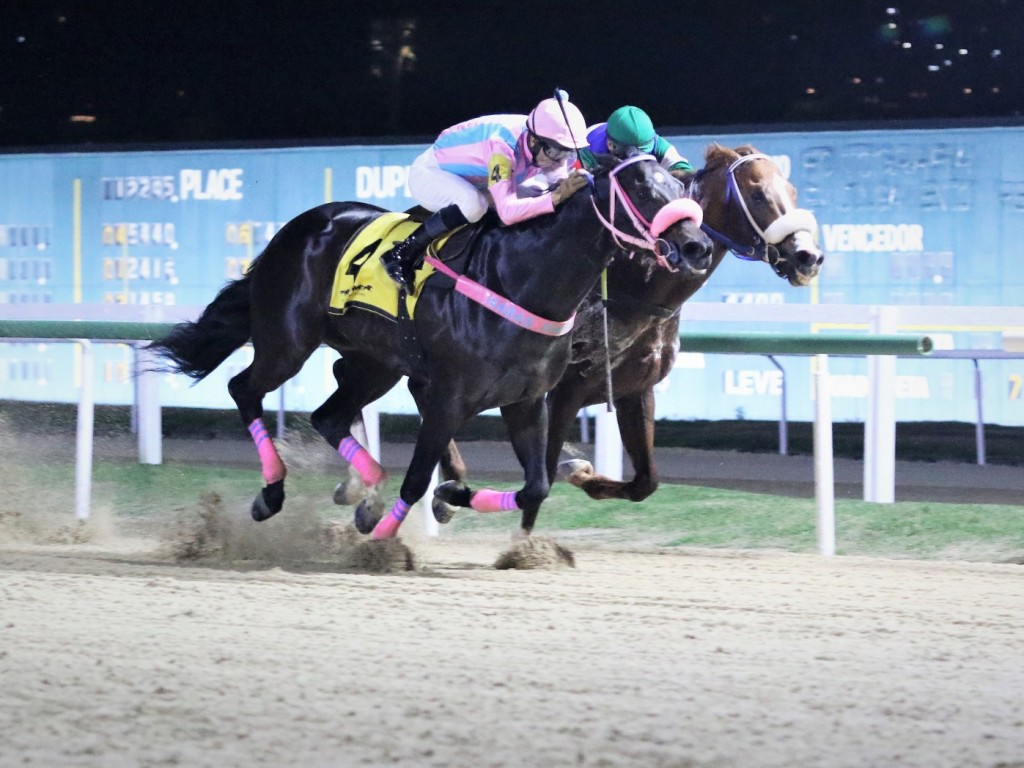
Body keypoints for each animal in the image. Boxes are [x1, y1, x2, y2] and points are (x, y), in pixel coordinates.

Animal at [432, 144, 823, 518]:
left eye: (792, 190)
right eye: (757, 195)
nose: (809, 256)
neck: (633, 287)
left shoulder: (635, 389)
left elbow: (645, 483)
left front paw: (580, 471)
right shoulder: (563, 392)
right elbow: (543, 475)